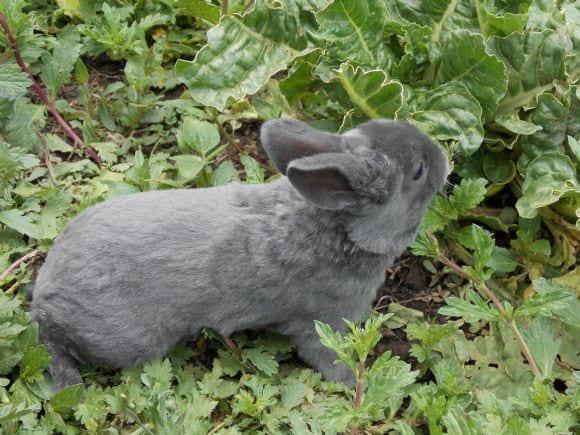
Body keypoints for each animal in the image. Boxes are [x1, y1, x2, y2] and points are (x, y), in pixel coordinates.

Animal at [30, 120, 448, 392]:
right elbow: (327, 356)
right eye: (418, 171)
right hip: (129, 340)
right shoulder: (322, 323)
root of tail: (47, 292)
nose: (443, 155)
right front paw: (355, 384)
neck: (336, 230)